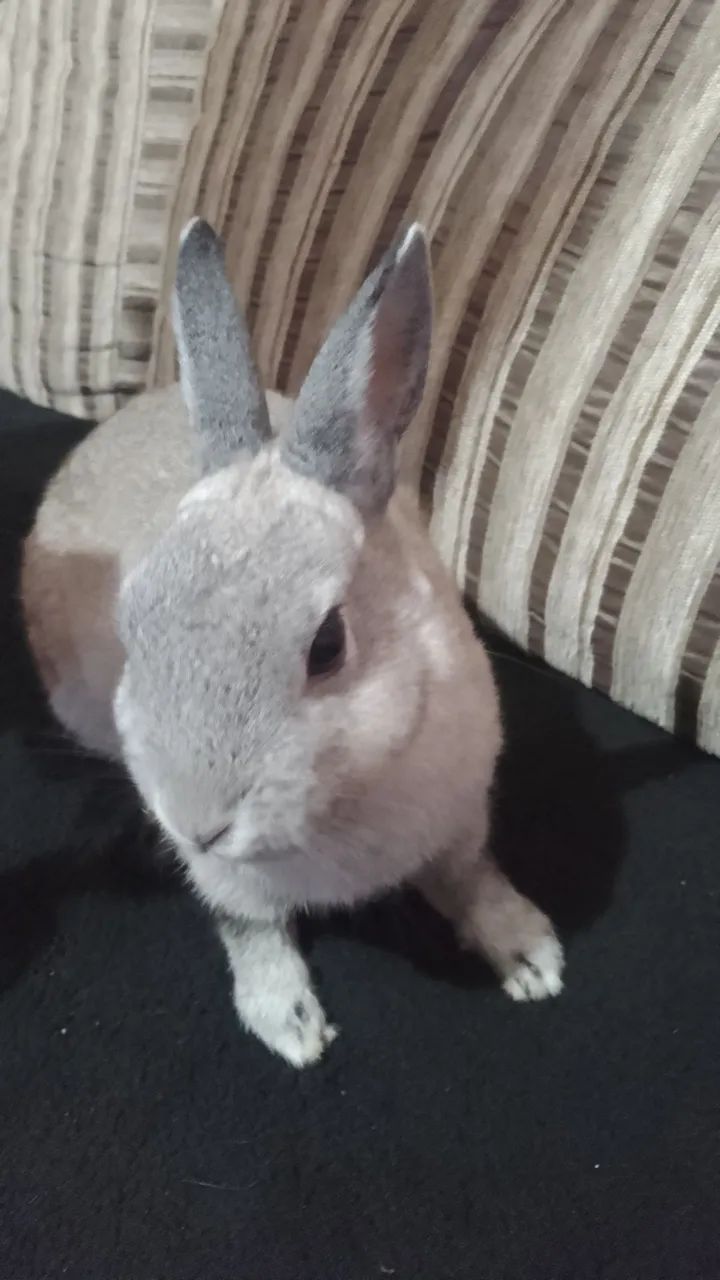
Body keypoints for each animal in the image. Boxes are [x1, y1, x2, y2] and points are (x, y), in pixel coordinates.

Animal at [22, 218, 564, 1066]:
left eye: (328, 645)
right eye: (130, 623)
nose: (197, 823)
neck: (342, 803)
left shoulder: (461, 822)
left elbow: (471, 878)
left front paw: (530, 956)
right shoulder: (229, 886)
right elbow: (252, 933)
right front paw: (291, 1027)